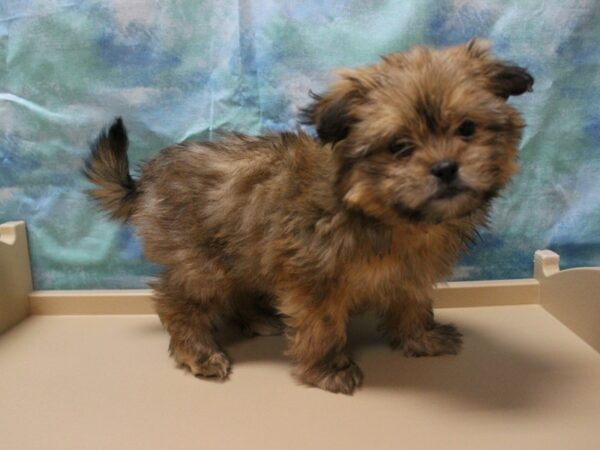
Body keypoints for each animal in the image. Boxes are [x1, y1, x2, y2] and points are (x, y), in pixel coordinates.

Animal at [84, 40, 536, 396]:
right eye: (400, 147)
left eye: (467, 129)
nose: (445, 168)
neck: (380, 212)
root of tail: (144, 182)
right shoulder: (313, 277)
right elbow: (322, 326)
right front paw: (327, 369)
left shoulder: (408, 273)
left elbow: (411, 304)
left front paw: (421, 338)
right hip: (202, 262)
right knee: (177, 301)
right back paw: (197, 351)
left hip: (240, 254)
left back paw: (257, 320)